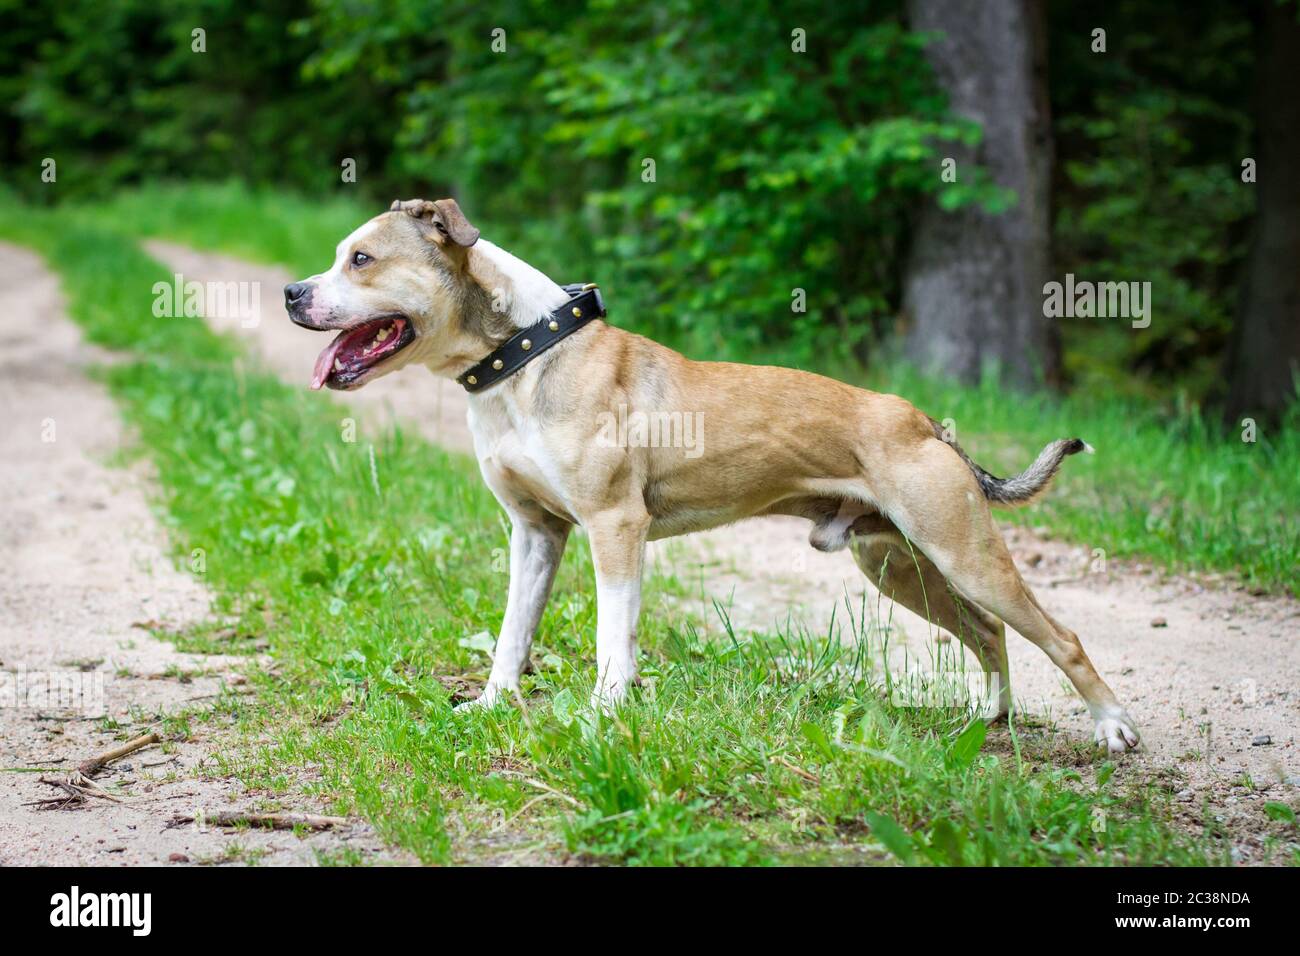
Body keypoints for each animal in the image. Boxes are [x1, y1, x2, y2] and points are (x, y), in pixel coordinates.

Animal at [284, 197, 1138, 754]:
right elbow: (510, 636)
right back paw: (988, 717)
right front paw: (493, 707)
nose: (292, 292)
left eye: (361, 259)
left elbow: (613, 638)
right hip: (896, 562)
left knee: (1057, 636)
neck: (525, 354)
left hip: (962, 551)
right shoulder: (535, 536)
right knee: (987, 631)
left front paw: (603, 716)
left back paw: (1113, 728)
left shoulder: (614, 529)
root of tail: (923, 419)